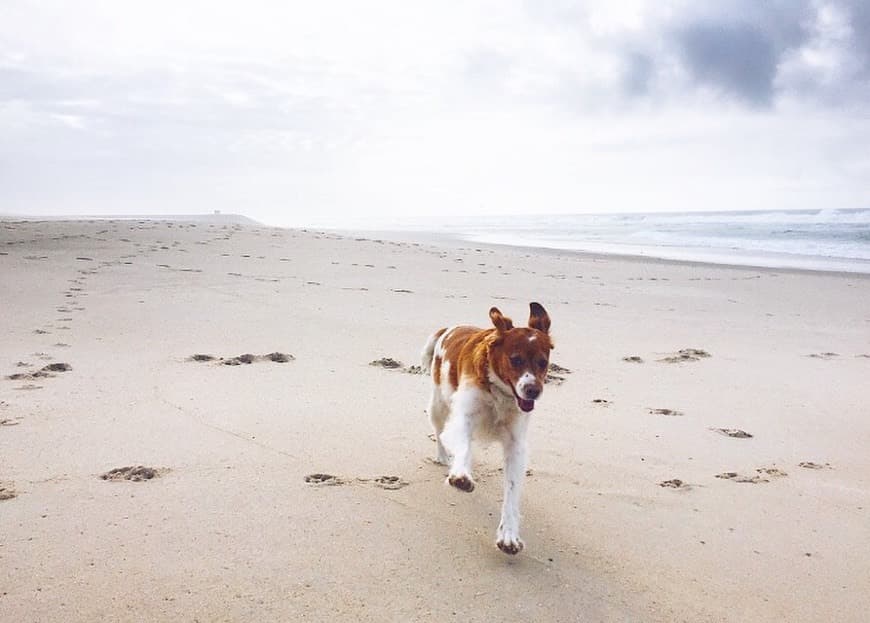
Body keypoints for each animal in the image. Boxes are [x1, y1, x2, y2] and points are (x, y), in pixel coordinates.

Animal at [424, 302, 560, 556]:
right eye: (515, 360)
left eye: (543, 362)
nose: (533, 391)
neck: (500, 392)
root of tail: (450, 328)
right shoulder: (464, 417)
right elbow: (463, 447)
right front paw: (460, 475)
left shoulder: (516, 445)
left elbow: (511, 493)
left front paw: (508, 536)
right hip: (438, 405)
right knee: (439, 433)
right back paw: (443, 457)